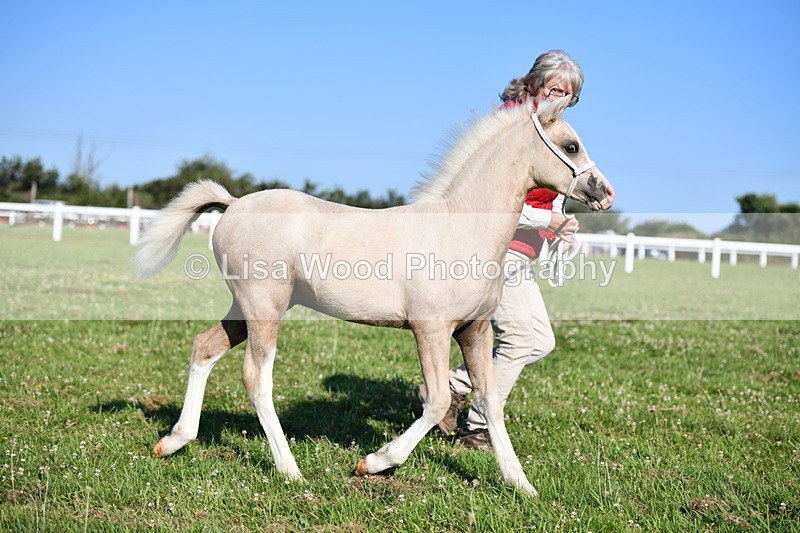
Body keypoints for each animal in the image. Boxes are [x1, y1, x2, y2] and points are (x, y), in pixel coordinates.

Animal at [135, 96, 614, 497]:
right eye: (571, 145)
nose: (604, 192)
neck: (460, 226)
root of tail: (233, 204)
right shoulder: (430, 329)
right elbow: (437, 401)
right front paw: (375, 463)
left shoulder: (474, 330)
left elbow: (491, 401)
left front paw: (521, 485)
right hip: (264, 307)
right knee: (256, 378)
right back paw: (290, 470)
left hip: (246, 308)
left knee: (204, 347)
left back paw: (173, 441)